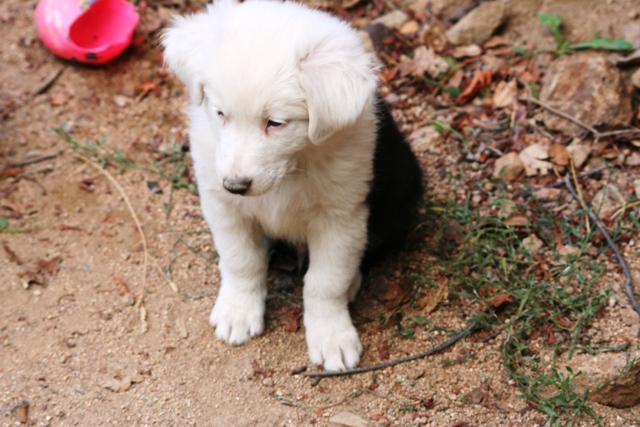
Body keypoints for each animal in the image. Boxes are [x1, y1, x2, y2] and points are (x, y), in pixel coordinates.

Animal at [162, 0, 422, 372]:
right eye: (220, 113)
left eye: (276, 123)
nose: (235, 185)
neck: (292, 167)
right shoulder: (222, 204)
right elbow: (242, 259)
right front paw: (238, 311)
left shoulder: (342, 217)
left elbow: (326, 281)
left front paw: (331, 336)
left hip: (402, 193)